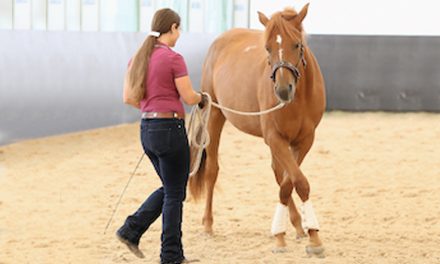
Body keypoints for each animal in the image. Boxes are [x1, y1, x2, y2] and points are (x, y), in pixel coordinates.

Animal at [191, 4, 324, 256]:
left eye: (297, 44)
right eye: (267, 48)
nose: (283, 90)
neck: (298, 99)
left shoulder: (305, 140)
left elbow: (289, 182)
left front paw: (305, 232)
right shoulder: (275, 138)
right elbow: (297, 181)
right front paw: (303, 237)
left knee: (278, 173)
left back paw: (296, 225)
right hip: (215, 115)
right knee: (212, 170)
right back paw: (208, 224)